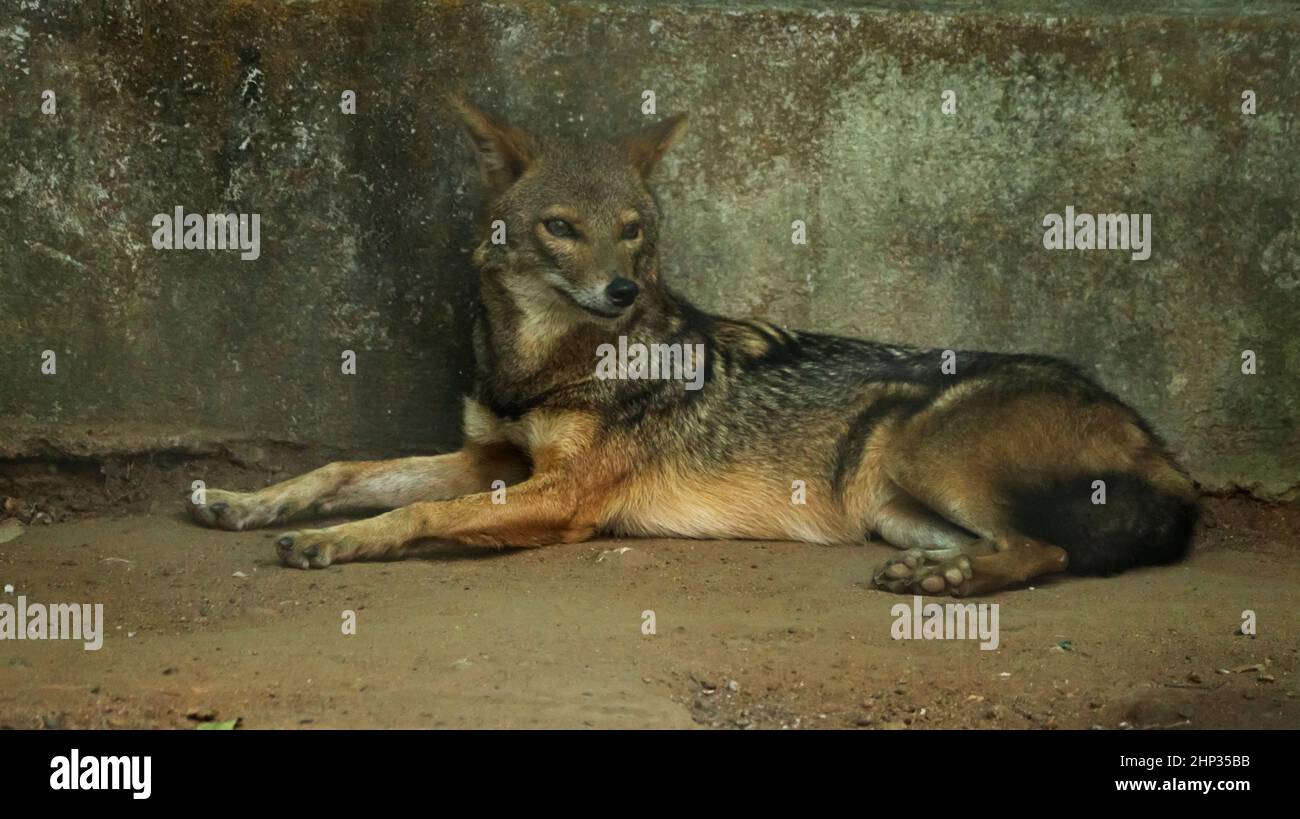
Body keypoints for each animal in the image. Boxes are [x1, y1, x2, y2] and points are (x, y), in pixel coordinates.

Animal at [187, 97, 1199, 596]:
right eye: (560, 227)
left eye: (633, 230)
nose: (622, 291)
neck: (540, 365)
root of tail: (1164, 446)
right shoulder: (493, 460)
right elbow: (345, 470)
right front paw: (245, 502)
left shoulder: (562, 498)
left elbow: (419, 511)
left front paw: (333, 544)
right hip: (893, 503)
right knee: (1021, 544)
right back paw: (939, 571)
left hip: (921, 448)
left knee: (1050, 551)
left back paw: (953, 585)